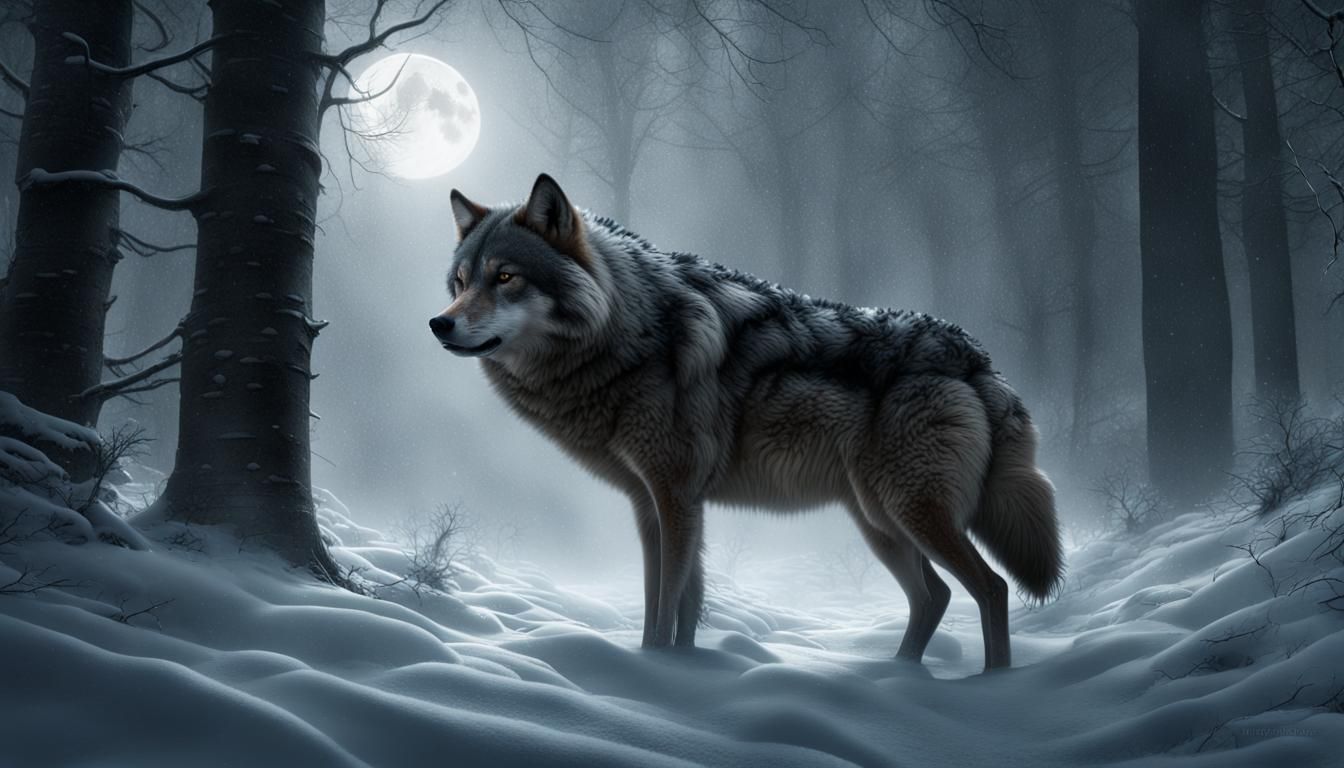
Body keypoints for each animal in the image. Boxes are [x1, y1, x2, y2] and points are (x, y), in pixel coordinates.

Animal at [431, 174, 1063, 670]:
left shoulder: (675, 498)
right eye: (460, 283)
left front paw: (653, 675)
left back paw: (990, 687)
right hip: (881, 521)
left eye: (505, 277)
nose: (439, 324)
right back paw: (899, 677)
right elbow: (677, 603)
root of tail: (978, 358)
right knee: (934, 597)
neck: (627, 330)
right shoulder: (657, 504)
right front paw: (672, 670)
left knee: (991, 588)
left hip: (912, 512)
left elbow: (665, 605)